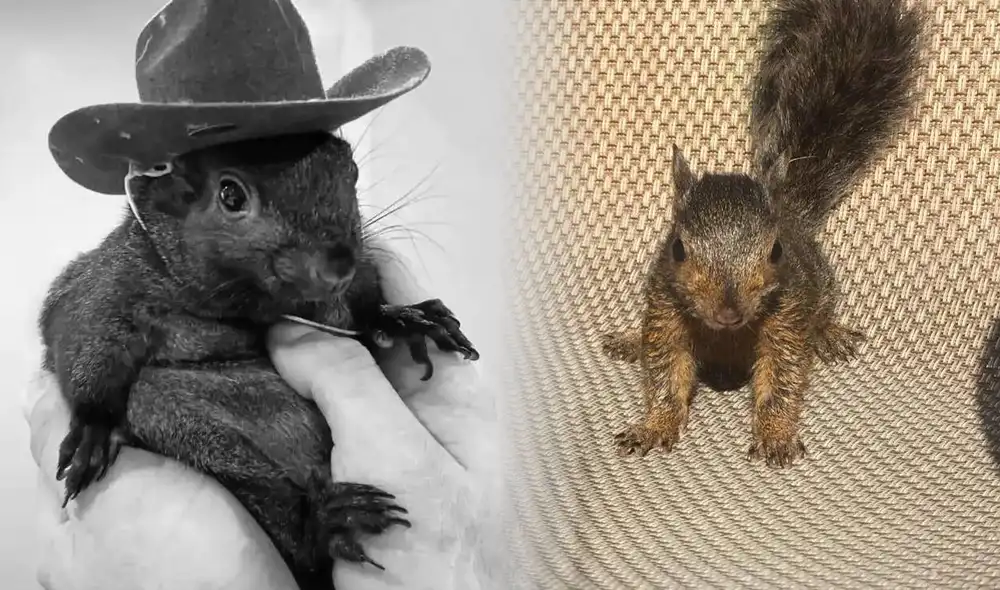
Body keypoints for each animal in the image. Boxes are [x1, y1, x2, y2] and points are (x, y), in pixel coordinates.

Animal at [38, 131, 479, 589]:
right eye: (230, 195)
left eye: (352, 171)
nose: (338, 267)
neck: (246, 304)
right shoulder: (106, 284)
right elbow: (82, 339)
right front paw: (93, 428)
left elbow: (362, 314)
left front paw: (402, 318)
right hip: (171, 415)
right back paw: (322, 525)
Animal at [602, 0, 922, 467]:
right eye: (677, 248)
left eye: (775, 252)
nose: (729, 311)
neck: (726, 334)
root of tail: (790, 209)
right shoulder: (665, 309)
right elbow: (665, 373)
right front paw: (654, 426)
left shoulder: (787, 318)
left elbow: (781, 380)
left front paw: (774, 436)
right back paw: (629, 341)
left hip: (821, 283)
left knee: (821, 313)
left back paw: (829, 333)